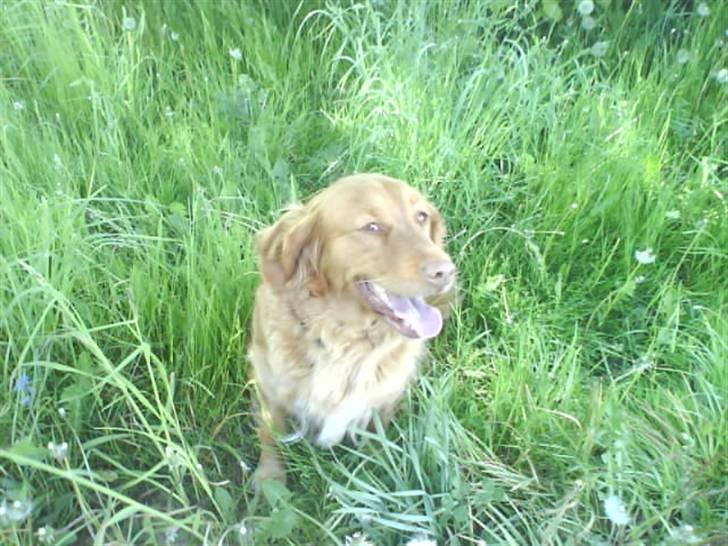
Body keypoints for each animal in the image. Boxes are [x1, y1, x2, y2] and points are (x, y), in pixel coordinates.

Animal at [250, 171, 456, 484]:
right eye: (372, 227)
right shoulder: (269, 384)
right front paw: (269, 480)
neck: (344, 339)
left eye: (421, 216)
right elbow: (270, 432)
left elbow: (376, 440)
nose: (446, 271)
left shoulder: (385, 397)